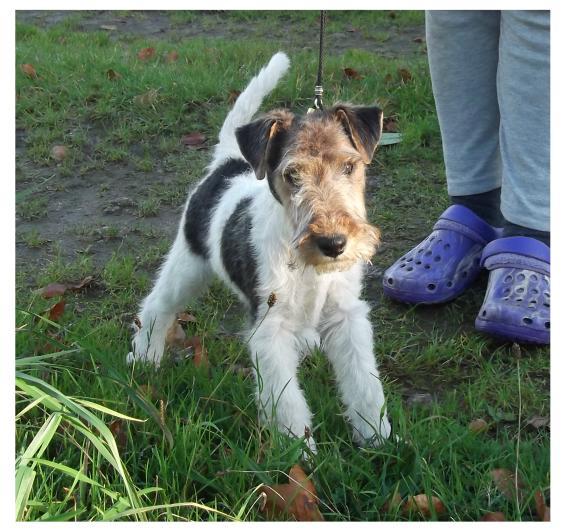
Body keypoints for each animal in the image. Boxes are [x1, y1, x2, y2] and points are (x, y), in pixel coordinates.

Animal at [131, 52, 392, 448]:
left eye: (349, 166)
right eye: (292, 174)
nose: (334, 243)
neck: (306, 263)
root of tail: (224, 166)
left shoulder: (347, 316)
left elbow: (365, 385)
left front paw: (381, 440)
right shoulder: (270, 330)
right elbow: (287, 401)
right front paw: (298, 452)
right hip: (187, 267)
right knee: (156, 306)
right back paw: (145, 357)